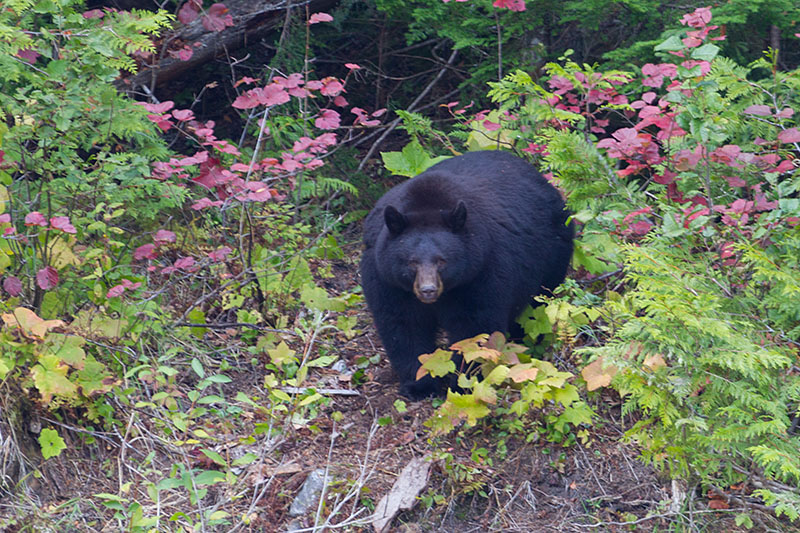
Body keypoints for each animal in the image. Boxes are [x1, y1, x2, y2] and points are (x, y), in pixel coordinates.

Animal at [360, 150, 572, 400]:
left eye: (442, 260)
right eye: (412, 262)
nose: (428, 290)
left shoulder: (481, 272)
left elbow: (474, 329)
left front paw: (464, 384)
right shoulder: (387, 279)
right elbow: (403, 325)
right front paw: (419, 384)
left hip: (553, 254)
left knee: (536, 306)